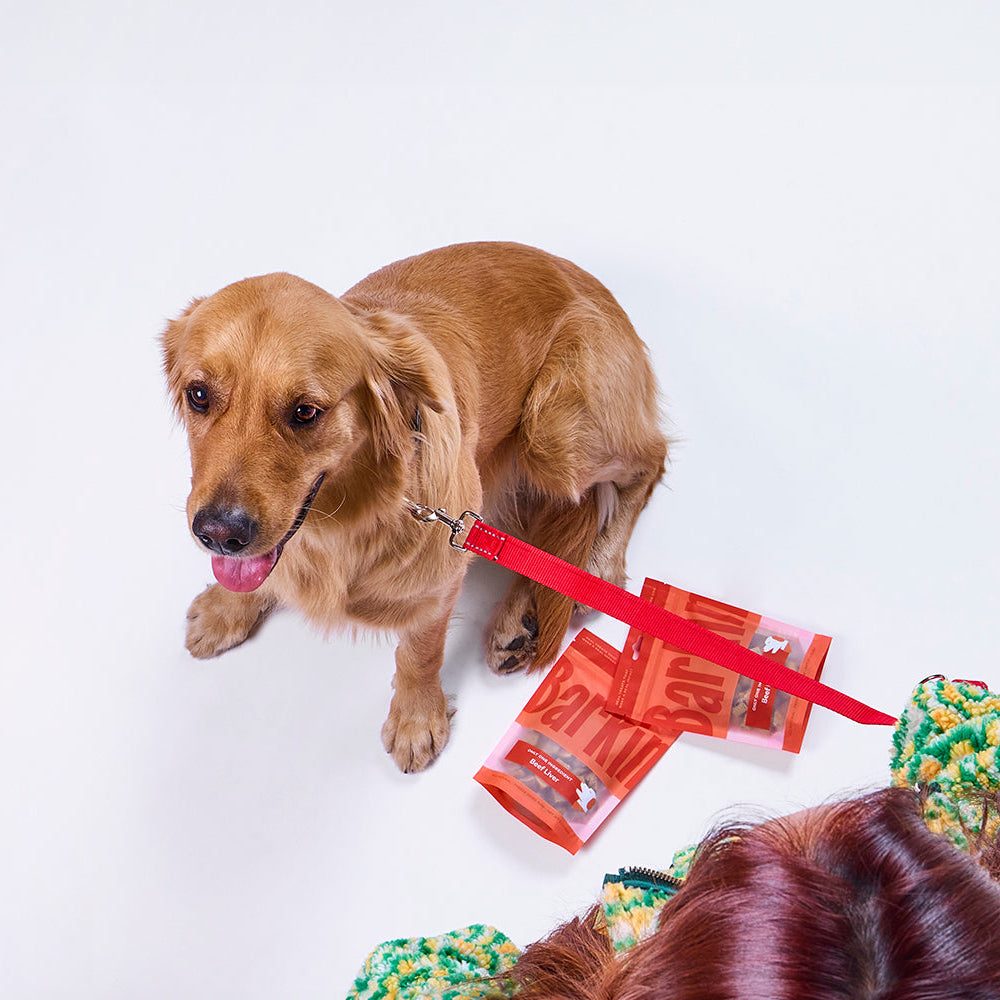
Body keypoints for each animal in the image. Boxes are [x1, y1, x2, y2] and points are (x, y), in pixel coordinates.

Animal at [160, 242, 668, 772]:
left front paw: (416, 719)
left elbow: (419, 653)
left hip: (555, 432)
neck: (344, 520)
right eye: (199, 395)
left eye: (305, 412)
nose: (219, 534)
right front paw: (227, 608)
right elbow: (262, 571)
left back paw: (598, 566)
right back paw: (520, 619)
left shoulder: (442, 572)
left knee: (649, 462)